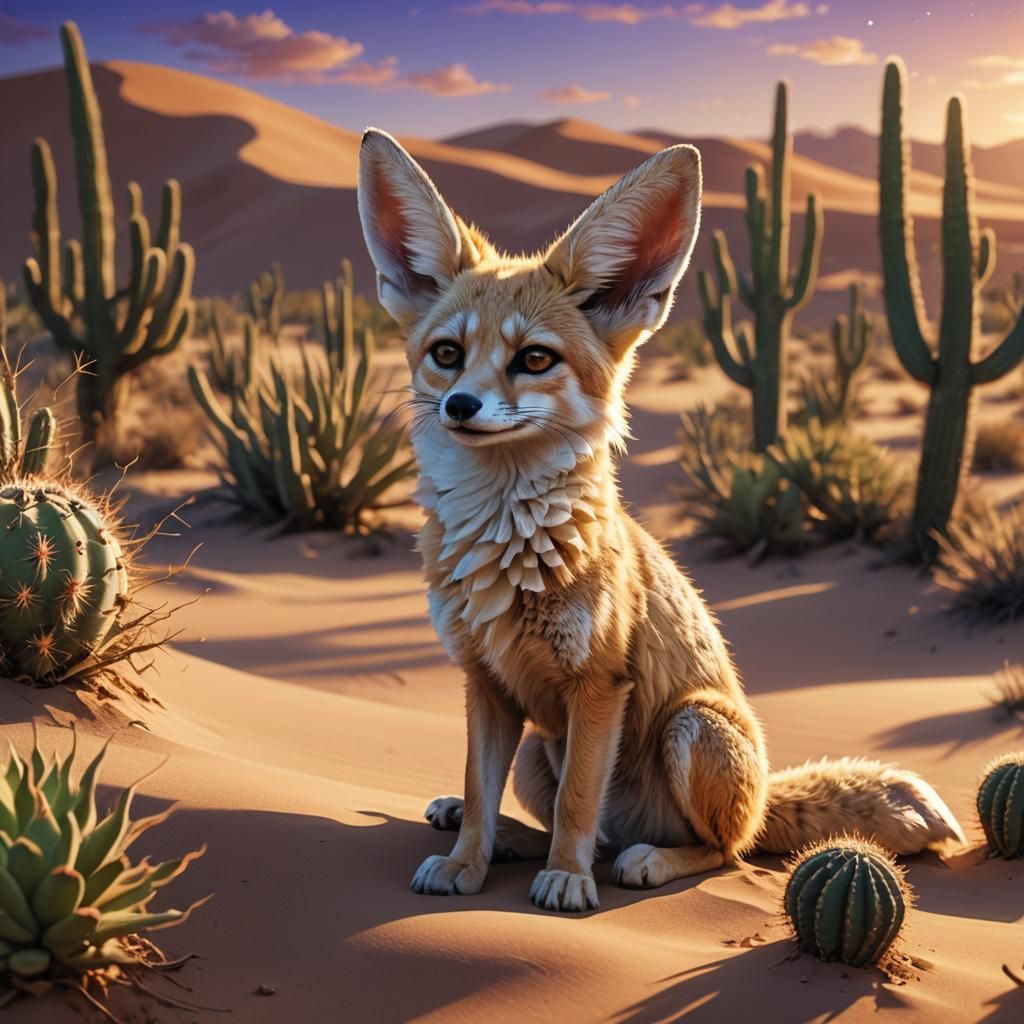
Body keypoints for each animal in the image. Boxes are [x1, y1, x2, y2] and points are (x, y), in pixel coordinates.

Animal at [356, 128, 966, 914]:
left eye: (533, 359)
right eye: (447, 354)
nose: (460, 405)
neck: (507, 549)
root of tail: (762, 800)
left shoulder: (599, 684)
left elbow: (578, 806)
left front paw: (566, 881)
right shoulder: (485, 682)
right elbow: (480, 793)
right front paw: (467, 863)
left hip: (691, 726)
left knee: (717, 852)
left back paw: (640, 859)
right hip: (536, 750)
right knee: (556, 822)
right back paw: (510, 839)